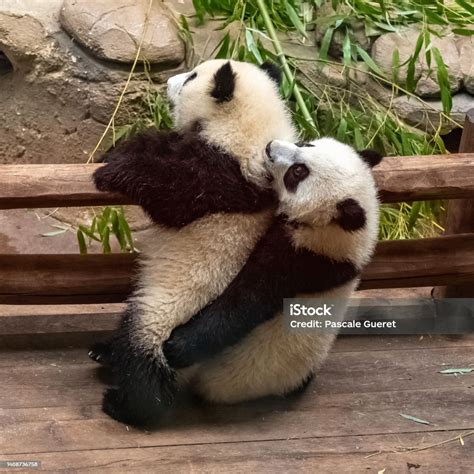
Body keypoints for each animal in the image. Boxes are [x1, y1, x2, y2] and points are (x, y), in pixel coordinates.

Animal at [89, 59, 296, 426]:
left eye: (191, 77)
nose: (168, 82)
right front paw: (113, 150)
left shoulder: (226, 172)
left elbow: (171, 191)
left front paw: (111, 169)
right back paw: (103, 352)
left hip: (167, 316)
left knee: (141, 356)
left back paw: (125, 405)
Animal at [165, 137, 384, 404]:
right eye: (308, 145)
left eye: (298, 172)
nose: (270, 147)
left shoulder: (302, 262)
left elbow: (245, 303)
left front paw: (177, 346)